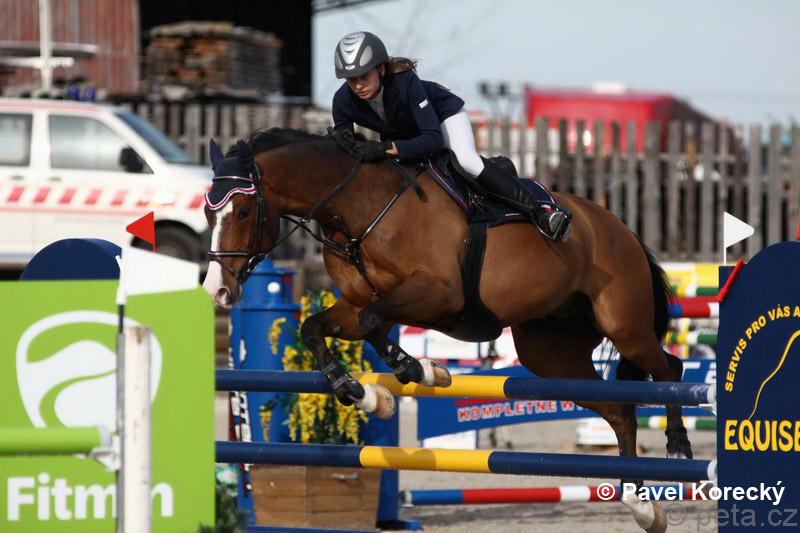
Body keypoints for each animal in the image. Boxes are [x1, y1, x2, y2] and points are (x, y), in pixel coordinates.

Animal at [203, 128, 692, 532]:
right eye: (210, 213)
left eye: (242, 210)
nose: (217, 291)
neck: (360, 208)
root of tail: (616, 225)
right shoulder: (356, 304)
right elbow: (316, 328)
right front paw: (363, 393)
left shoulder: (438, 293)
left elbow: (375, 322)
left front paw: (419, 371)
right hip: (550, 351)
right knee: (619, 410)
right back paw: (641, 506)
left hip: (623, 324)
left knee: (669, 369)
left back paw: (678, 450)